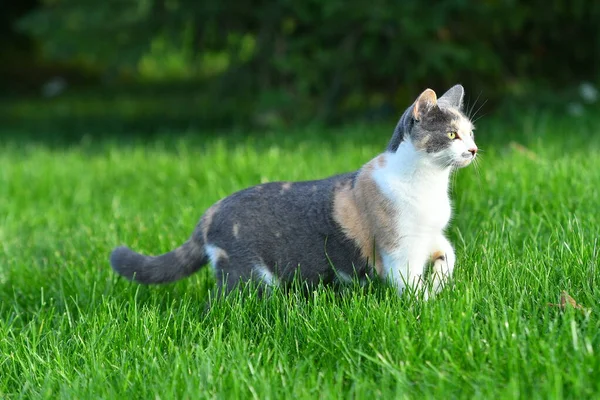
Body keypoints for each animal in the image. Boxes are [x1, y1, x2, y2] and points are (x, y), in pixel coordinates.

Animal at [110, 84, 478, 298]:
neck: (430, 185)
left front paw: (439, 283)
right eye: (451, 135)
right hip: (248, 276)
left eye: (470, 133)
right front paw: (424, 305)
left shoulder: (432, 236)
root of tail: (210, 212)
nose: (474, 149)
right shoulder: (400, 251)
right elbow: (410, 286)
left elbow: (448, 255)